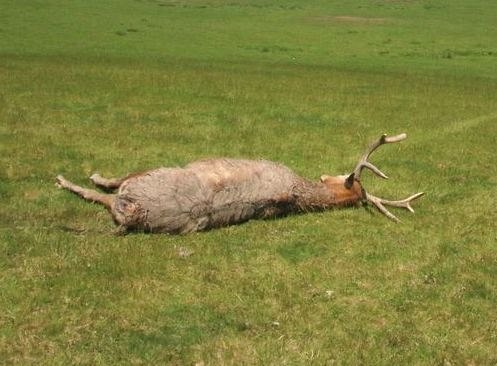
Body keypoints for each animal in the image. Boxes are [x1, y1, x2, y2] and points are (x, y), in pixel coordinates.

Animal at [57, 134, 422, 234]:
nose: (324, 174)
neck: (296, 190)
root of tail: (133, 213)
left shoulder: (201, 160)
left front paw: (89, 176)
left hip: (149, 178)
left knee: (108, 191)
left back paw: (69, 179)